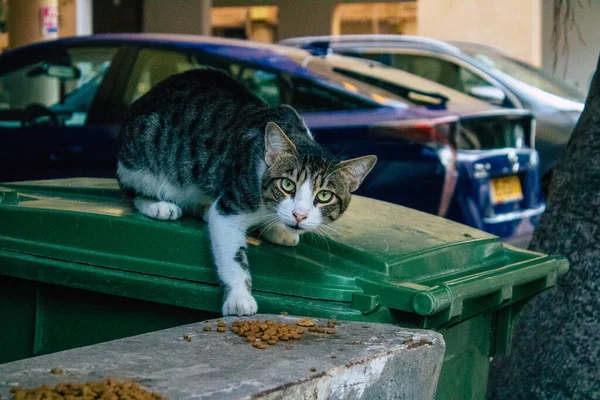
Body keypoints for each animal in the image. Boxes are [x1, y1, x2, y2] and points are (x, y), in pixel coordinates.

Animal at [116, 69, 376, 316]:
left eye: (324, 196)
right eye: (287, 185)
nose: (299, 215)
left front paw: (278, 229)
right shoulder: (229, 209)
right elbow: (233, 257)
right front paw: (239, 298)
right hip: (145, 153)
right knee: (132, 189)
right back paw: (158, 205)